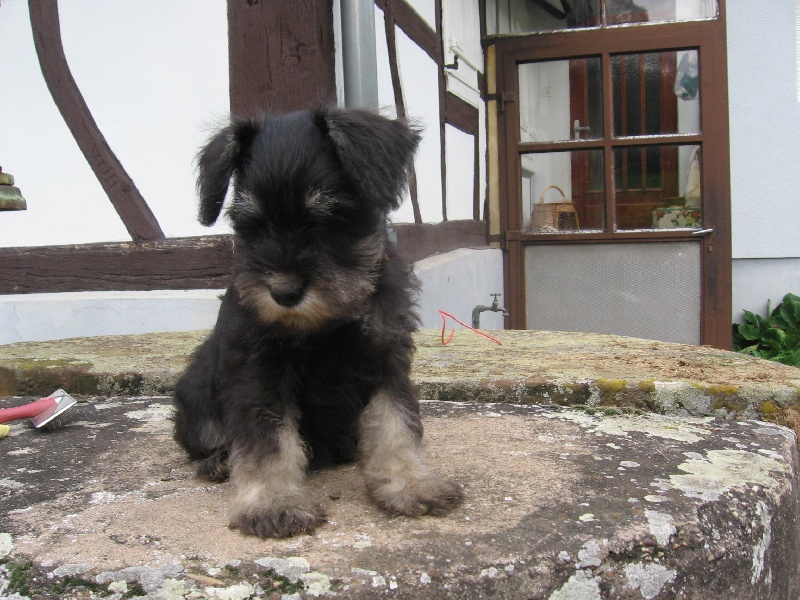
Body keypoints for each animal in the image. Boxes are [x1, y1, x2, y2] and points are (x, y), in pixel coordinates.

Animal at [173, 107, 464, 539]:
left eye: (330, 219)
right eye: (251, 224)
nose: (284, 292)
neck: (326, 323)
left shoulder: (386, 358)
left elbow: (395, 424)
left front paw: (412, 483)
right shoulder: (259, 370)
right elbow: (266, 439)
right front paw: (273, 502)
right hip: (195, 399)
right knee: (209, 440)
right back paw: (218, 462)